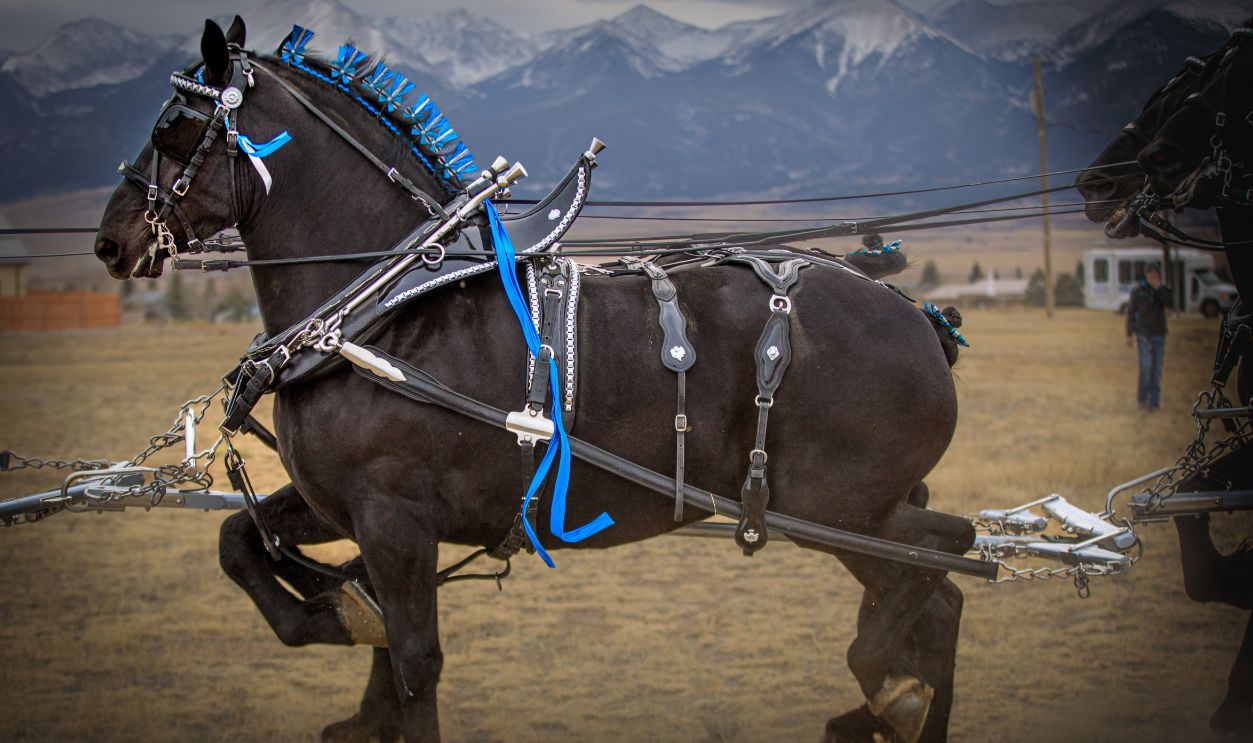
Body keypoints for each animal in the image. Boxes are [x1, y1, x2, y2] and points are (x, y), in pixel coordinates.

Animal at [93, 17, 974, 743]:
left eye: (173, 126)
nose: (110, 240)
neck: (379, 310)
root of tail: (918, 317)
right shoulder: (342, 505)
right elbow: (243, 545)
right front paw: (340, 620)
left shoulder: (392, 515)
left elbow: (415, 662)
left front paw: (351, 628)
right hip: (850, 509)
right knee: (940, 596)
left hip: (831, 507)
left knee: (944, 557)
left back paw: (883, 690)